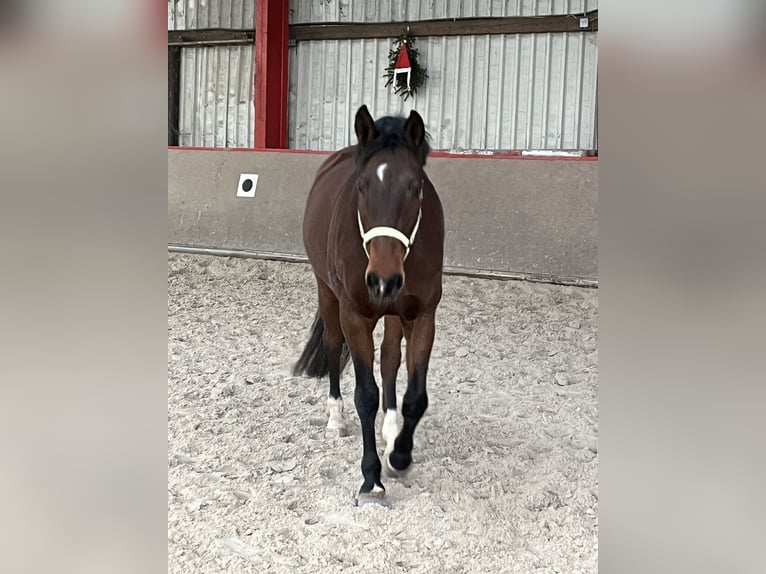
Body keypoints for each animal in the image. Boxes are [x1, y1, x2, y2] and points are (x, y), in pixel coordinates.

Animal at [296, 106, 448, 506]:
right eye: (362, 186)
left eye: (415, 186)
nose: (383, 279)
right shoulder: (355, 315)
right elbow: (365, 395)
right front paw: (371, 479)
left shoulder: (422, 316)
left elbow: (415, 396)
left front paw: (399, 454)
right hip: (327, 293)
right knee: (333, 346)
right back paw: (335, 418)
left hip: (395, 313)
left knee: (391, 357)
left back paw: (391, 428)